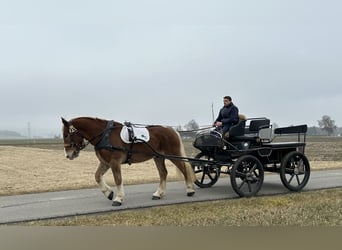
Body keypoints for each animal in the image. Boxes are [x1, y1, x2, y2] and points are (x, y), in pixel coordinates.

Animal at [61, 116, 195, 206]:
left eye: (66, 134)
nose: (68, 155)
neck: (105, 135)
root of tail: (171, 130)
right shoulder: (105, 163)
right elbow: (97, 176)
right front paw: (108, 193)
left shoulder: (114, 162)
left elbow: (118, 179)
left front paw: (118, 198)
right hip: (158, 157)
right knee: (163, 173)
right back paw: (158, 194)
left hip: (173, 155)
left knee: (184, 169)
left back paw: (190, 190)